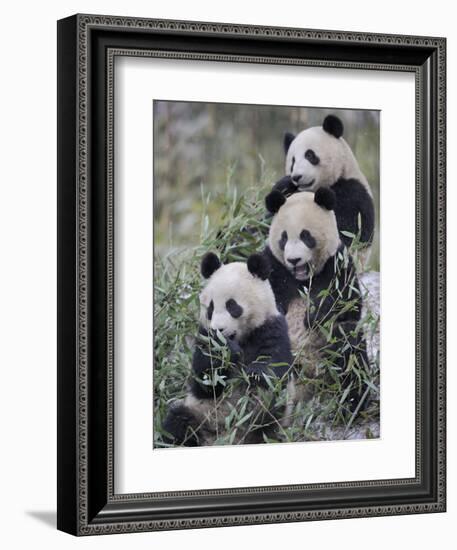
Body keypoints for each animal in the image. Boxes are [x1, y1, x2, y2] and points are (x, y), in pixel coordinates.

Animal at [162, 253, 292, 448]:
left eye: (232, 306)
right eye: (210, 308)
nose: (219, 329)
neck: (240, 338)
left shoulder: (272, 327)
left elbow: (274, 367)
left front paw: (253, 374)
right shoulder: (204, 337)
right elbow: (205, 381)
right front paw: (226, 352)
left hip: (268, 421)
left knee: (267, 415)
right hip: (198, 412)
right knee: (176, 423)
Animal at [264, 188, 370, 420]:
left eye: (306, 236)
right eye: (284, 238)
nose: (294, 260)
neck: (303, 279)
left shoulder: (338, 264)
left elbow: (348, 304)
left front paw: (312, 315)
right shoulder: (273, 266)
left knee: (349, 348)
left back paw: (352, 406)